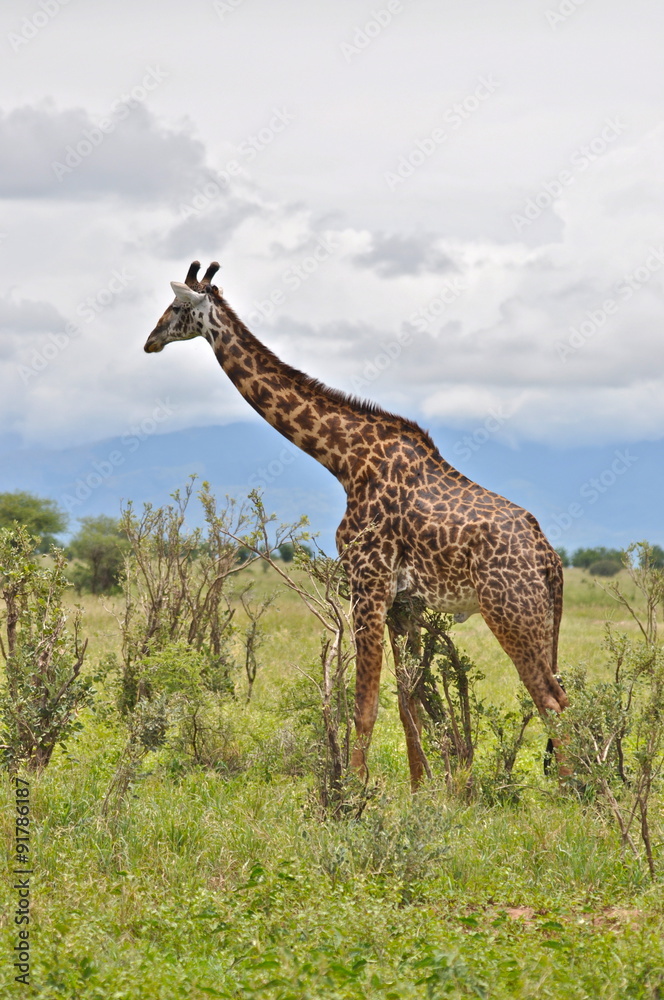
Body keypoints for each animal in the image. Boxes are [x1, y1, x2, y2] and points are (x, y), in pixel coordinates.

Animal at [144, 261, 568, 789]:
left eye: (176, 307)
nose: (150, 340)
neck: (345, 460)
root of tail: (550, 559)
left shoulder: (367, 584)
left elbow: (365, 705)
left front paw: (354, 790)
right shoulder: (403, 603)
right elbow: (408, 702)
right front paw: (420, 788)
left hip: (511, 611)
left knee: (552, 701)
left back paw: (575, 790)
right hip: (538, 616)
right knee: (564, 696)